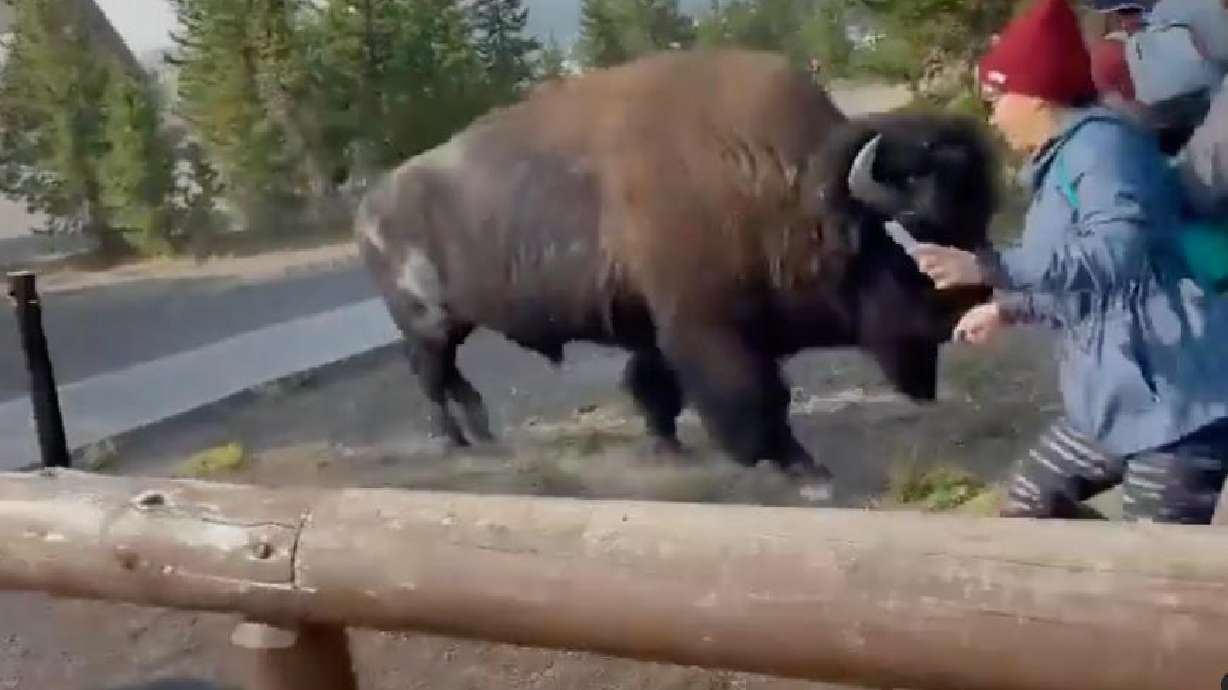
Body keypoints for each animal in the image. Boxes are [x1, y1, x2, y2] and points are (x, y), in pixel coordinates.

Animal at [354, 48, 998, 491]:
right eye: (906, 241)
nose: (963, 315)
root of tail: (369, 203)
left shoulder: (659, 327)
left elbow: (655, 389)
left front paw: (670, 449)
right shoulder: (707, 330)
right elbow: (757, 400)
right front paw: (805, 471)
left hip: (454, 325)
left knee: (451, 378)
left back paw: (485, 436)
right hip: (426, 323)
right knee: (431, 379)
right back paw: (455, 445)